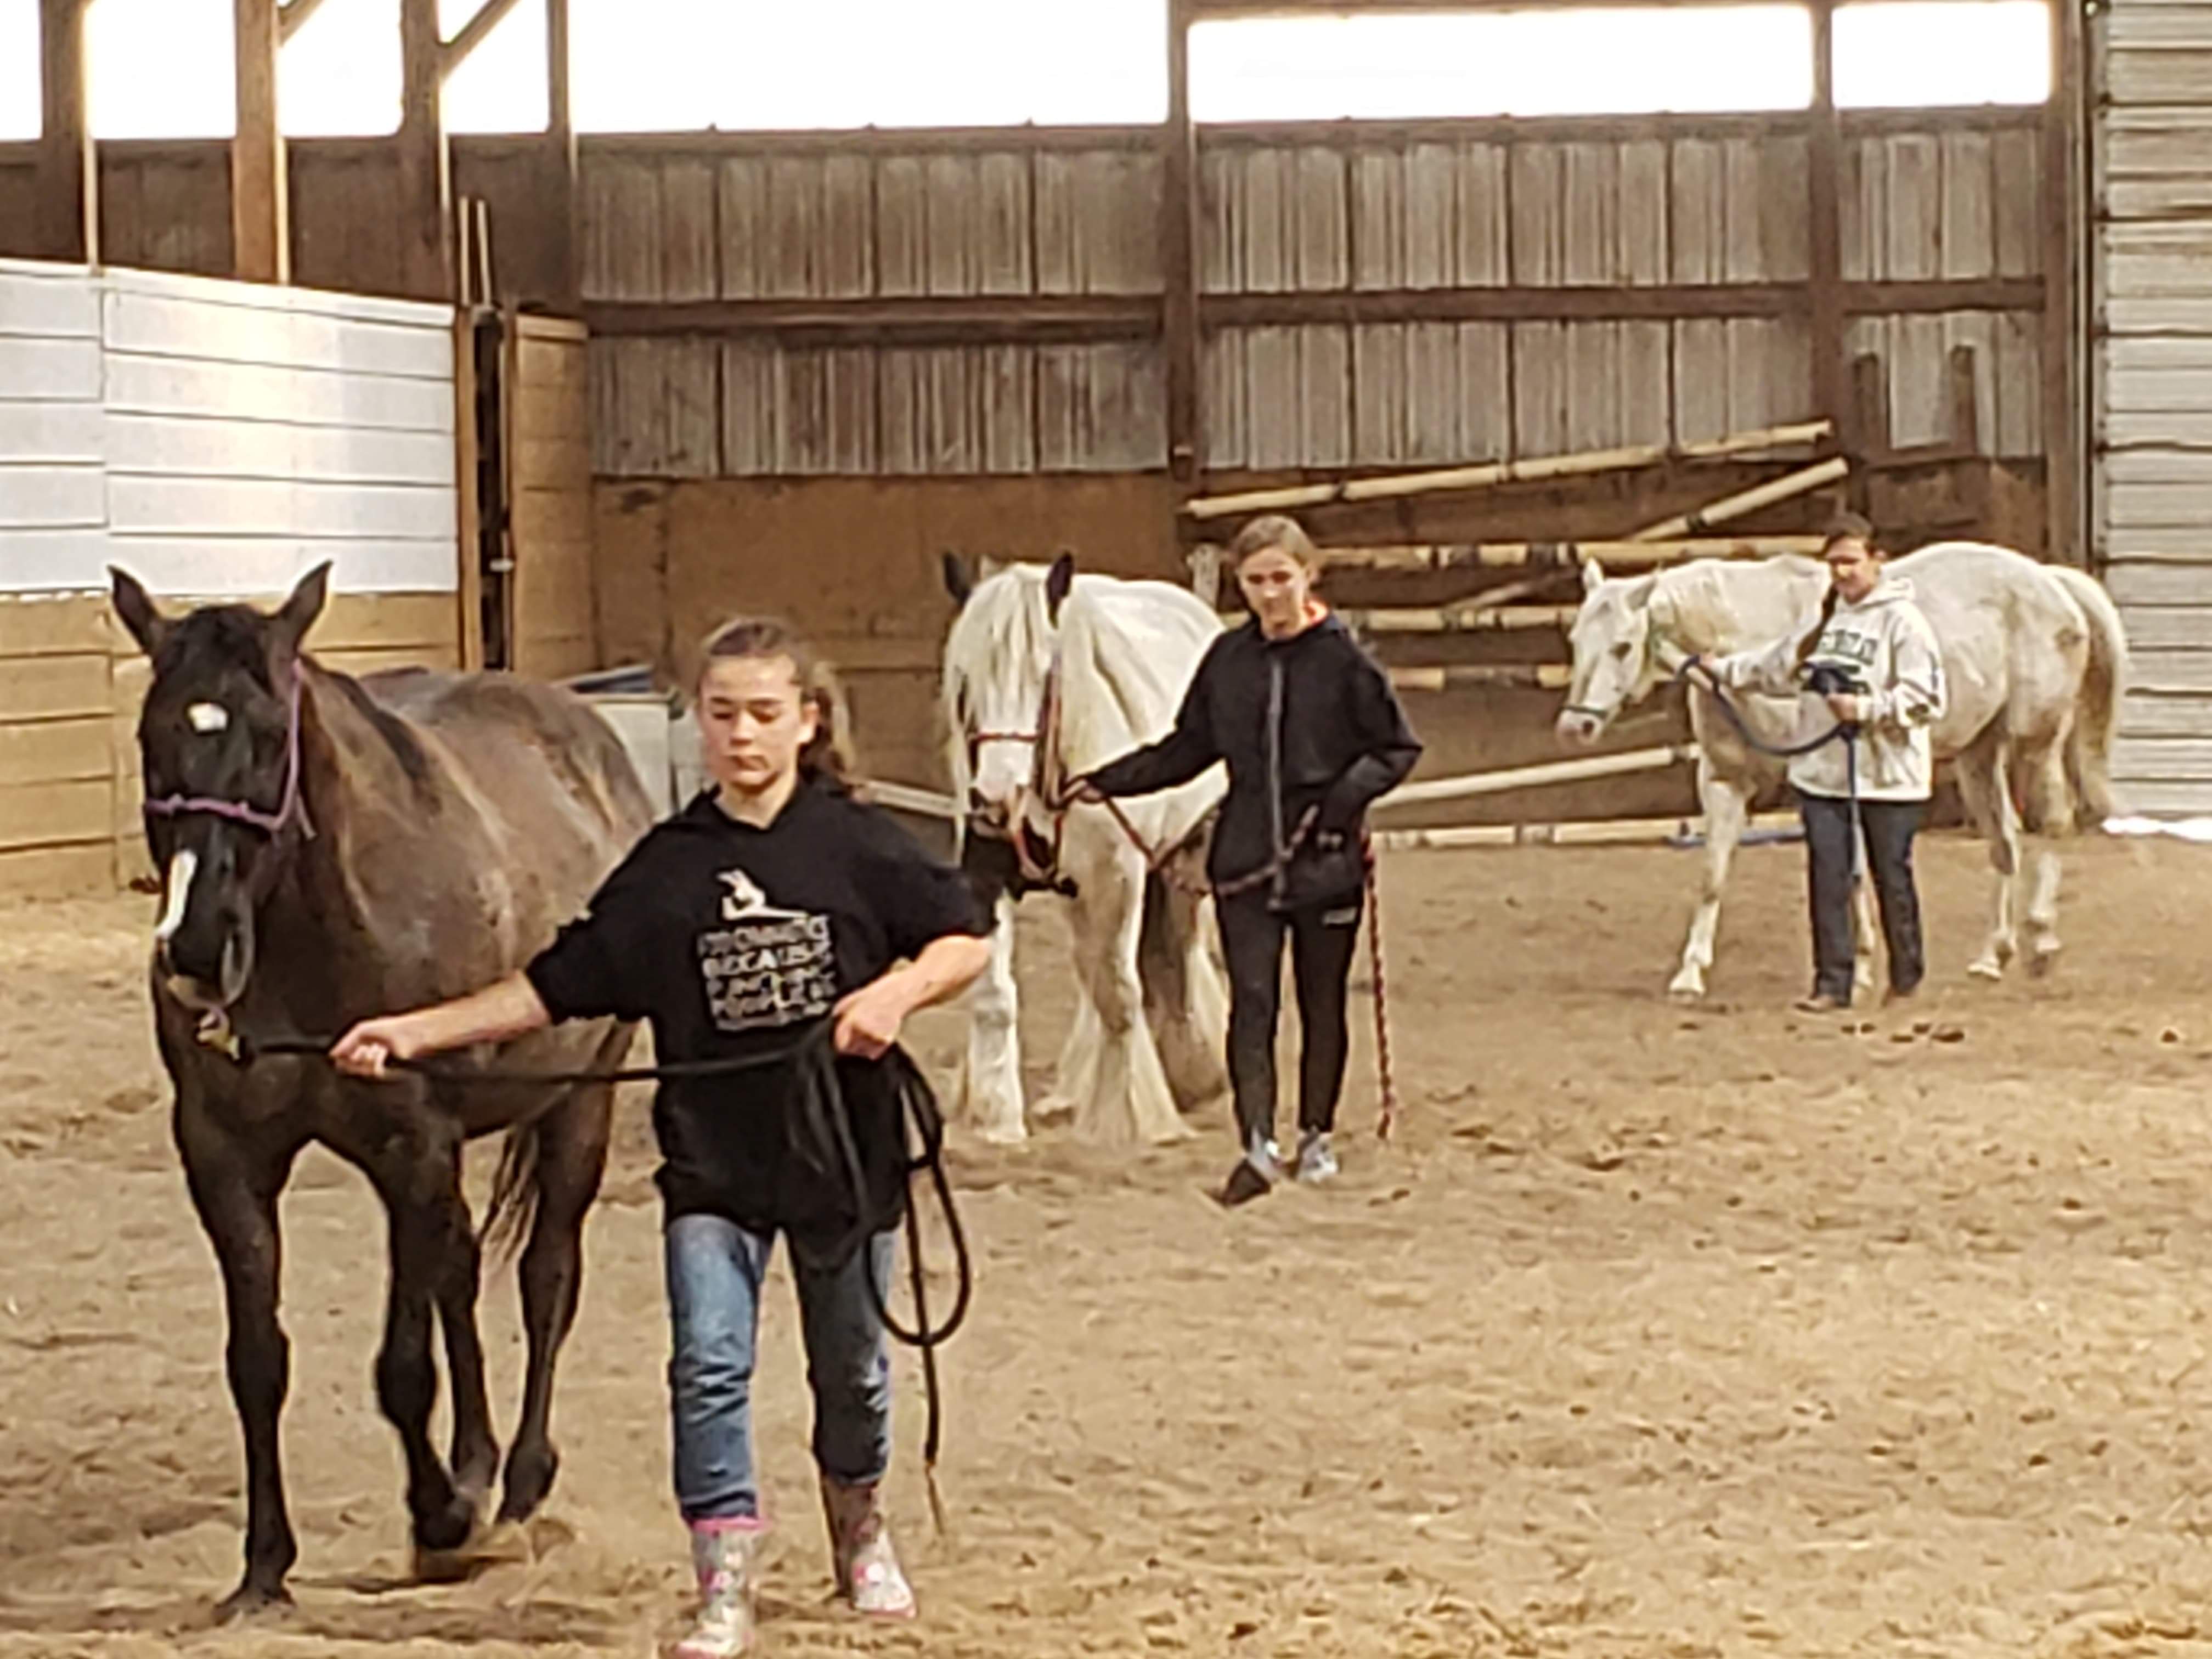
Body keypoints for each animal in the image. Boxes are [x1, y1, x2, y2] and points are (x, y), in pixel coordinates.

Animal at [111, 571, 650, 1628]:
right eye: (154, 732)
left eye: (269, 734)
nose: (196, 945)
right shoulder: (225, 1156)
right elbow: (257, 1360)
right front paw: (264, 1566)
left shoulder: (411, 1142)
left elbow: (403, 1368)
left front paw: (440, 1519)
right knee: (460, 1268)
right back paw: (480, 1463)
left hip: (577, 1102)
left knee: (546, 1277)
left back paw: (517, 1482)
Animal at [942, 555, 1238, 1141]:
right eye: (967, 679)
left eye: (1043, 675)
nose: (995, 797)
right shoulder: (989, 877)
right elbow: (997, 999)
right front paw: (996, 1119)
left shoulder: (1117, 876)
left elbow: (1119, 995)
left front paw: (1128, 1119)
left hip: (1183, 861)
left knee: (1174, 956)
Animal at [1557, 546, 2123, 1000]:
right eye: (1576, 640)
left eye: (1622, 646)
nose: (1575, 726)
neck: (1751, 630)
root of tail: (2050, 580)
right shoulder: (1724, 783)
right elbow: (1712, 877)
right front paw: (1690, 976)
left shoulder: (1821, 781)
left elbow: (1848, 874)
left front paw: (1864, 971)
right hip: (1978, 754)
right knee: (2004, 841)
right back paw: (1992, 956)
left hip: (2036, 742)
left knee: (2052, 824)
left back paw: (2041, 942)